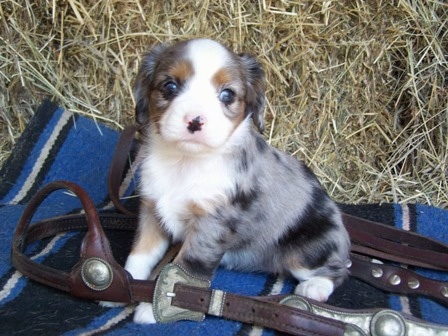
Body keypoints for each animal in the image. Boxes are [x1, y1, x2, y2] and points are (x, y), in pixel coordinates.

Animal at [125, 38, 350, 322]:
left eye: (227, 95)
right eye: (170, 86)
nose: (195, 121)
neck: (185, 162)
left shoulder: (211, 226)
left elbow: (184, 273)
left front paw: (155, 311)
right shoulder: (152, 211)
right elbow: (140, 254)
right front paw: (120, 283)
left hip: (307, 248)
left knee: (337, 270)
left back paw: (315, 288)